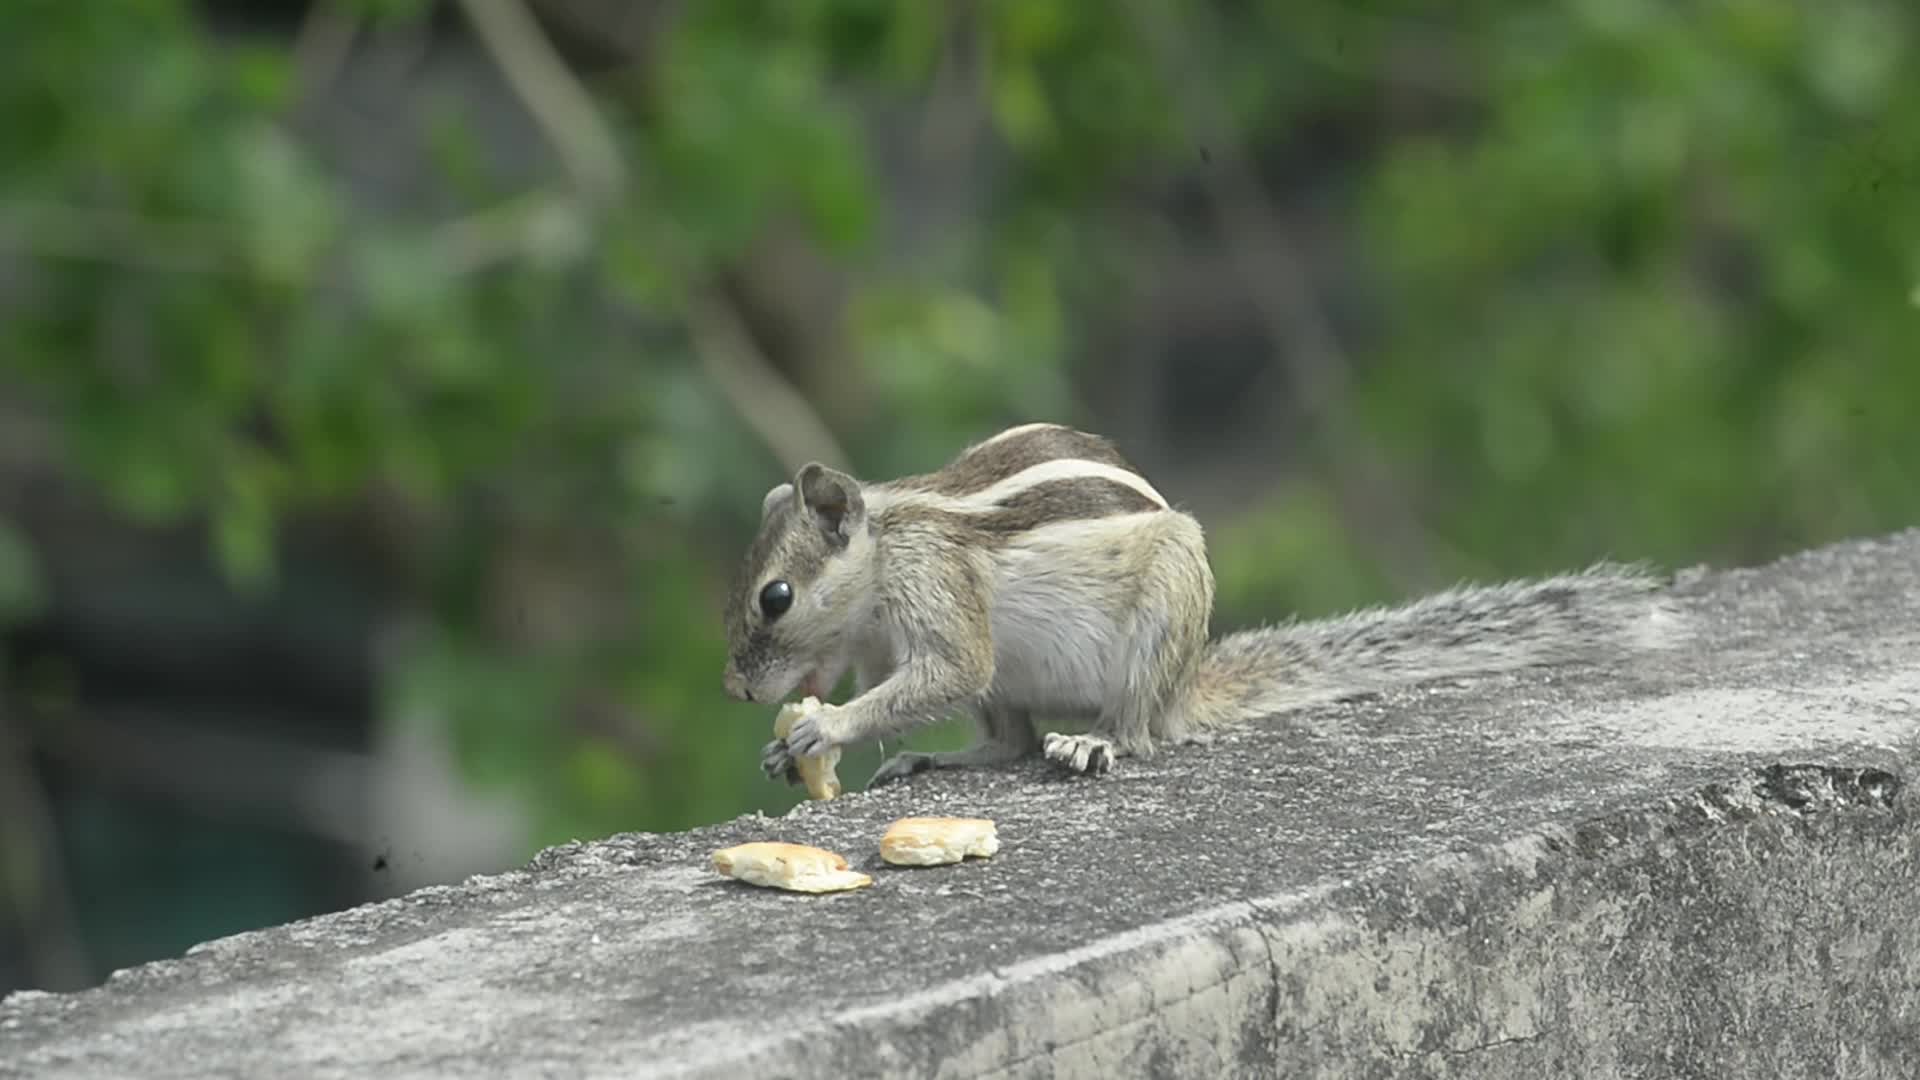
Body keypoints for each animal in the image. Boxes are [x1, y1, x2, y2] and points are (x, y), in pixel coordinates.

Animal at [721, 422, 1688, 790]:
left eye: (776, 597)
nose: (736, 691)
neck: (882, 556)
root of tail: (1187, 689)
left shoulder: (939, 588)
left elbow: (947, 670)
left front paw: (824, 728)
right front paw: (787, 748)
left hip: (1159, 619)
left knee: (1132, 729)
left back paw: (1098, 741)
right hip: (1020, 683)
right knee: (1009, 741)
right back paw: (945, 759)